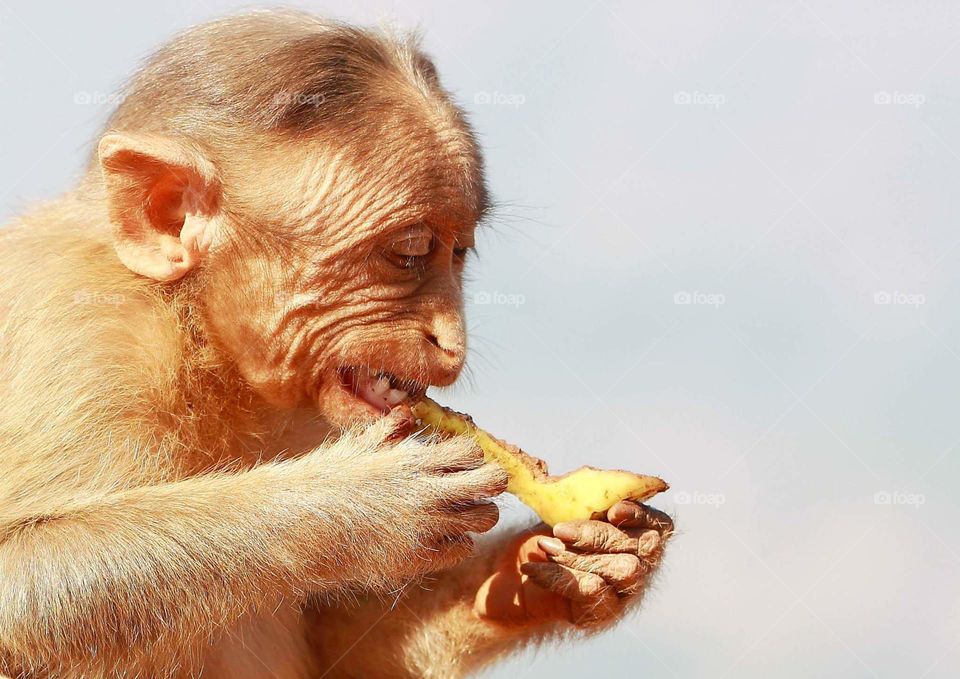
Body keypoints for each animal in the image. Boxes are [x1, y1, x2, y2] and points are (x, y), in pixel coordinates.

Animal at [0, 10, 672, 679]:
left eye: (459, 254)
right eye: (409, 252)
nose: (452, 342)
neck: (197, 332)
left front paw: (556, 570)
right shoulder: (83, 338)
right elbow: (18, 576)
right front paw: (363, 508)